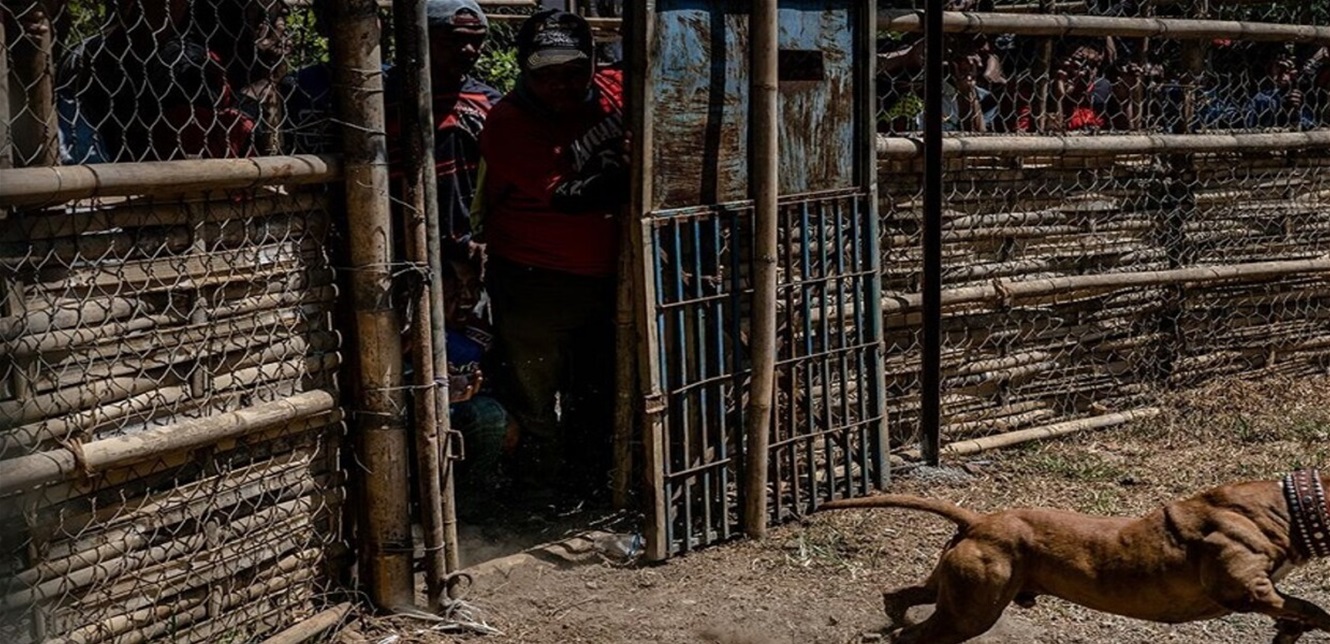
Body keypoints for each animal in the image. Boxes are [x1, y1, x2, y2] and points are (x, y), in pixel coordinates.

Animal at [819, 468, 1330, 644]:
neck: (1294, 504)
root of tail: (981, 519)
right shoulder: (1248, 590)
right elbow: (1312, 606)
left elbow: (1298, 609)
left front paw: (1291, 629)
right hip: (973, 608)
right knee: (917, 637)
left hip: (958, 587)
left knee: (908, 595)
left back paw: (893, 614)